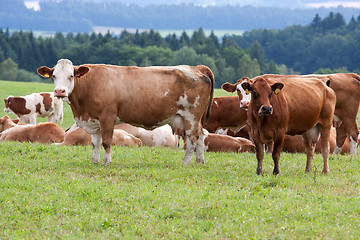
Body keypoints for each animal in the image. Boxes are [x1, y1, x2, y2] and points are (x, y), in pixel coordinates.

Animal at [38, 58, 214, 165]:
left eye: (71, 75)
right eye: (54, 76)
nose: (59, 91)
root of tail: (195, 68)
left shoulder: (107, 117)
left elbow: (106, 141)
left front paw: (106, 162)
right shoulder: (93, 120)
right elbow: (95, 142)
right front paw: (94, 161)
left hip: (191, 116)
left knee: (192, 138)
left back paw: (186, 162)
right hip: (190, 119)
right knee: (201, 135)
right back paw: (199, 160)